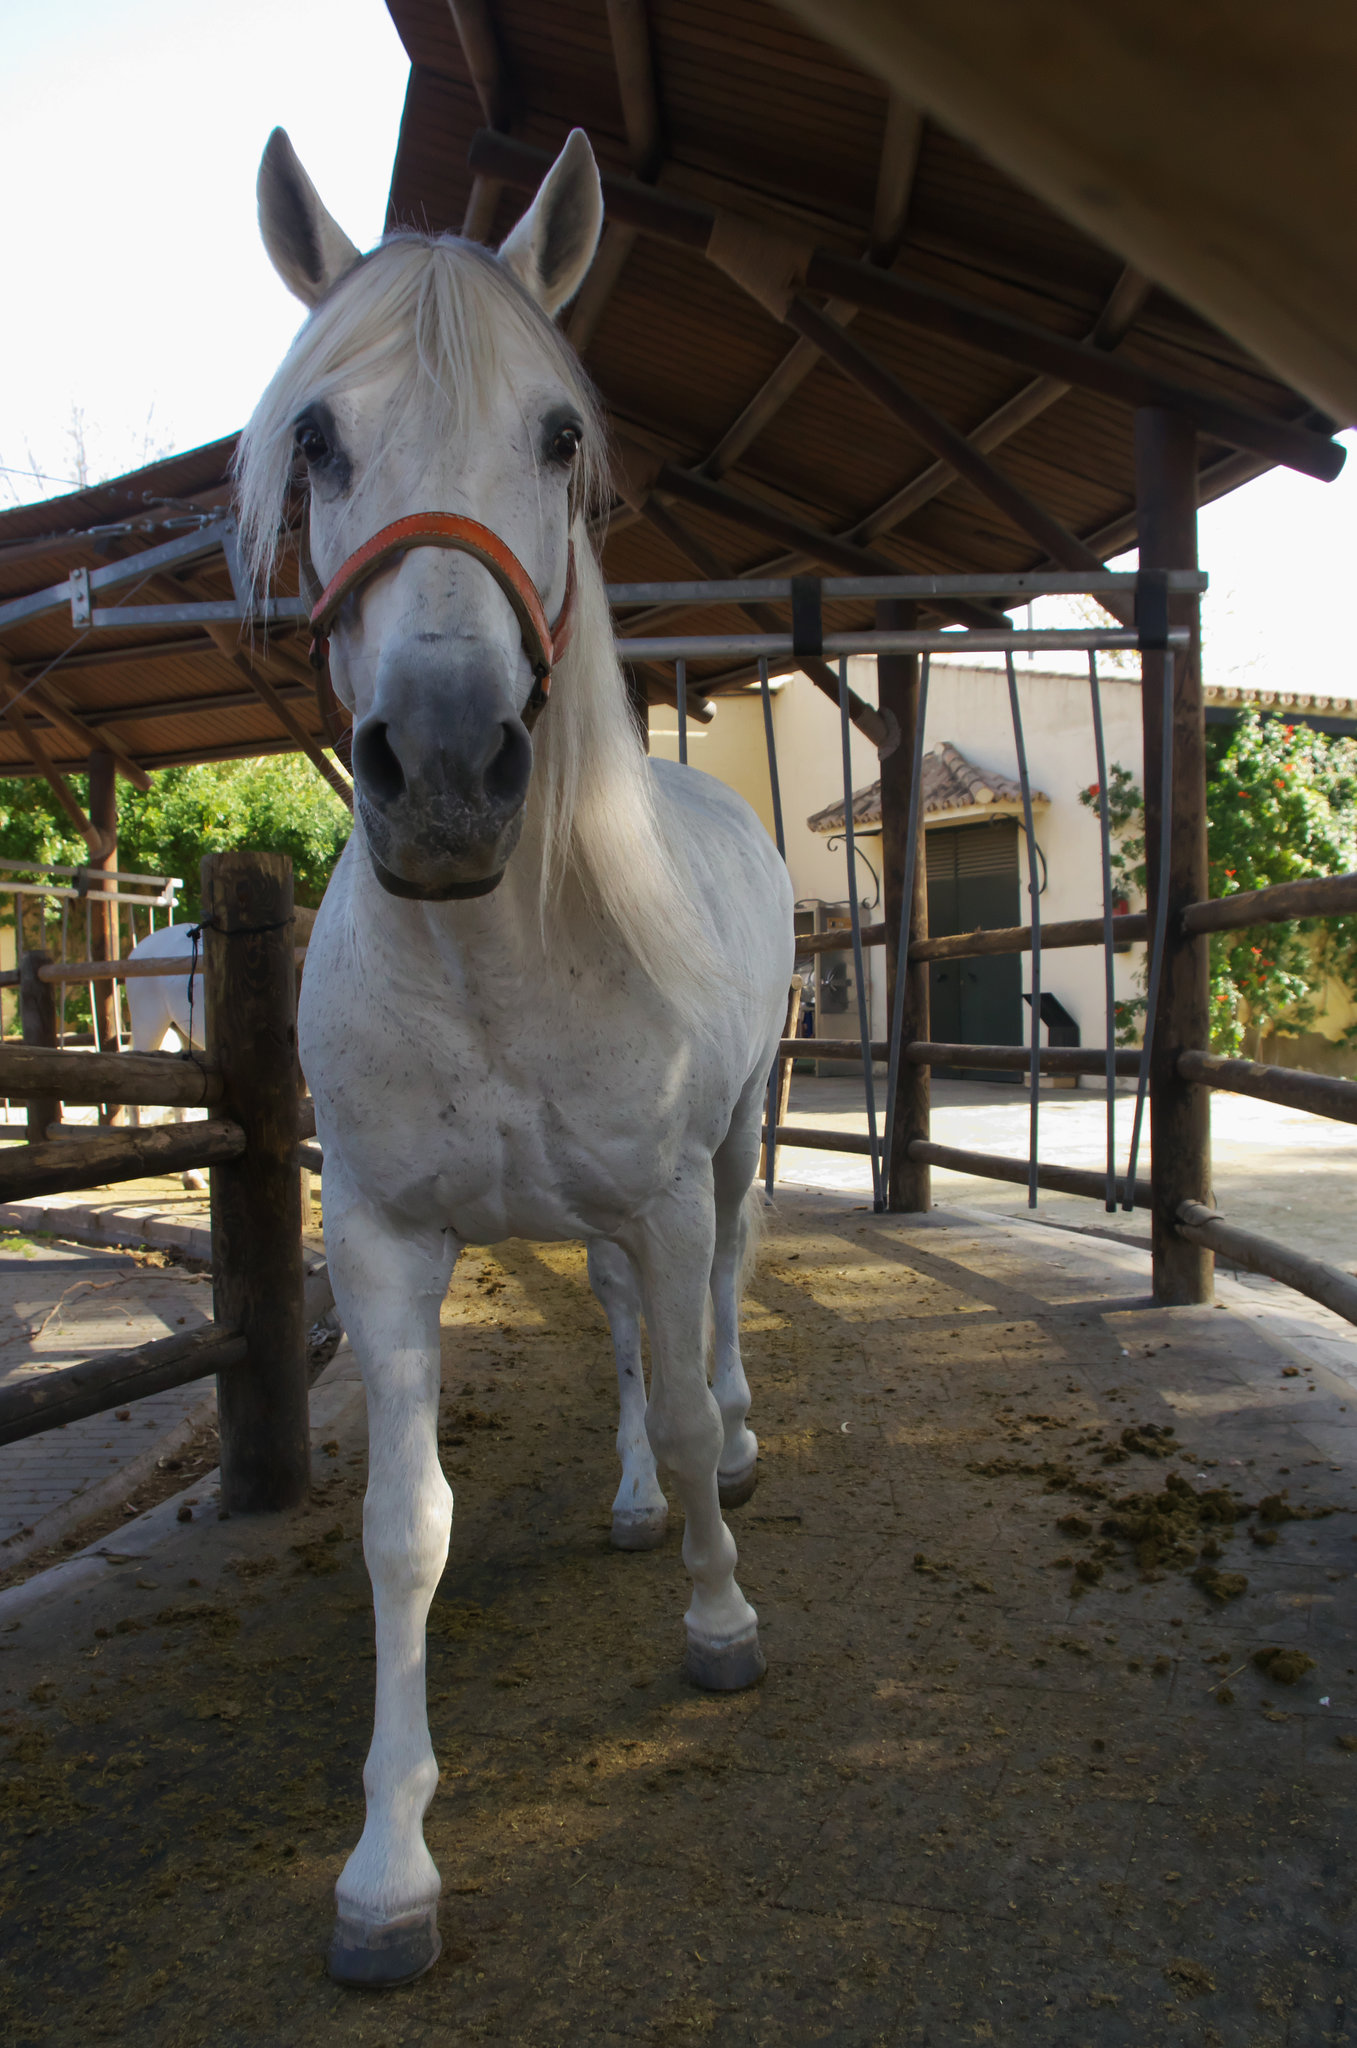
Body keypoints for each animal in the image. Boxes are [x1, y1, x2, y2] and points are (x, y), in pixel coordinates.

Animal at [238, 123, 798, 1982]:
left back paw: (731, 1455)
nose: (443, 776)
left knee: (716, 1322)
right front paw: (387, 1864)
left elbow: (688, 1413)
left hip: (733, 1146)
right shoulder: (387, 1244)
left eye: (558, 435)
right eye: (315, 437)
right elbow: (404, 1528)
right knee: (628, 1336)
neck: (492, 956)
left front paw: (718, 1614)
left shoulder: (669, 1190)